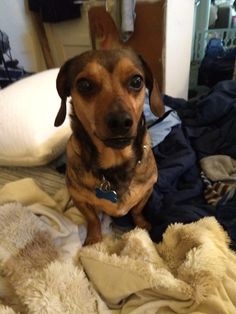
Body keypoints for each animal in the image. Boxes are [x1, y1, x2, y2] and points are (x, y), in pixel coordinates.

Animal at [54, 48, 164, 245]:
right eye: (84, 84)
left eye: (136, 81)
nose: (120, 121)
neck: (115, 163)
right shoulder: (80, 199)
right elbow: (93, 219)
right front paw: (94, 238)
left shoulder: (147, 190)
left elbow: (137, 210)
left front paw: (142, 225)